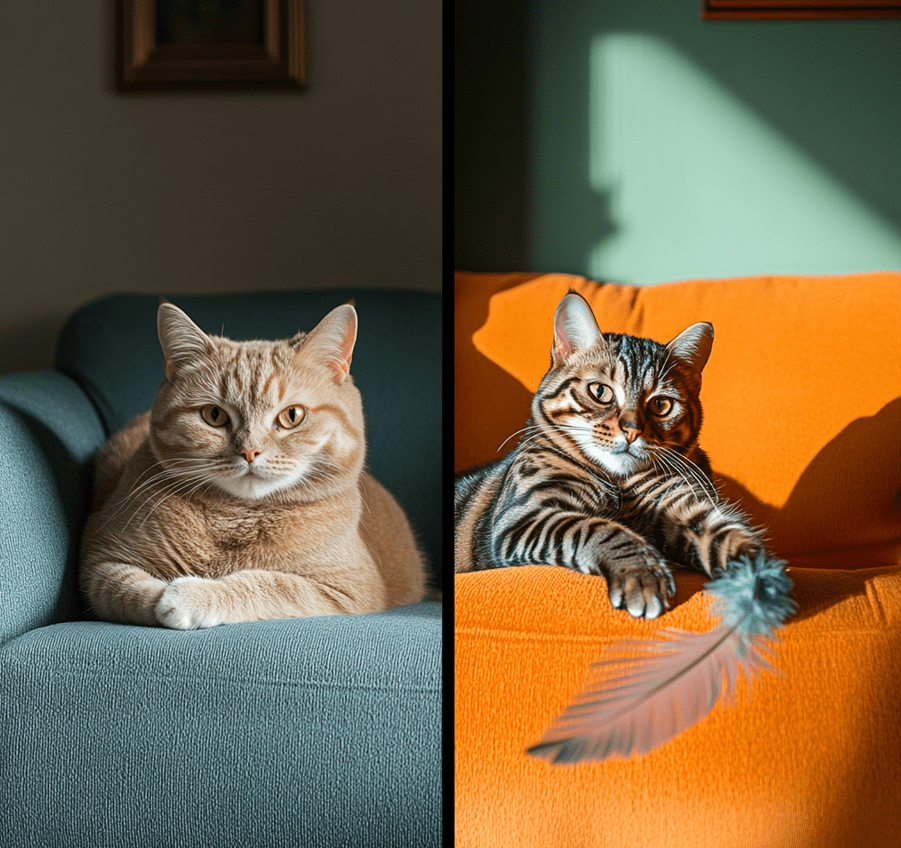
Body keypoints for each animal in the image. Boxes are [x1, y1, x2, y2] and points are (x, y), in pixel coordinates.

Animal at [80, 302, 426, 628]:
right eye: (214, 416)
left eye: (292, 415)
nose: (249, 451)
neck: (238, 517)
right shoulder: (99, 561)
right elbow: (130, 588)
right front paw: (167, 592)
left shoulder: (347, 589)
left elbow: (268, 583)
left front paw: (194, 594)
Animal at [454, 290, 764, 616]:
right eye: (600, 392)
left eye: (661, 405)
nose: (631, 430)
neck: (617, 481)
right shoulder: (525, 515)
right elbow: (599, 528)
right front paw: (641, 574)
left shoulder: (686, 505)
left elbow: (733, 538)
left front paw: (762, 580)